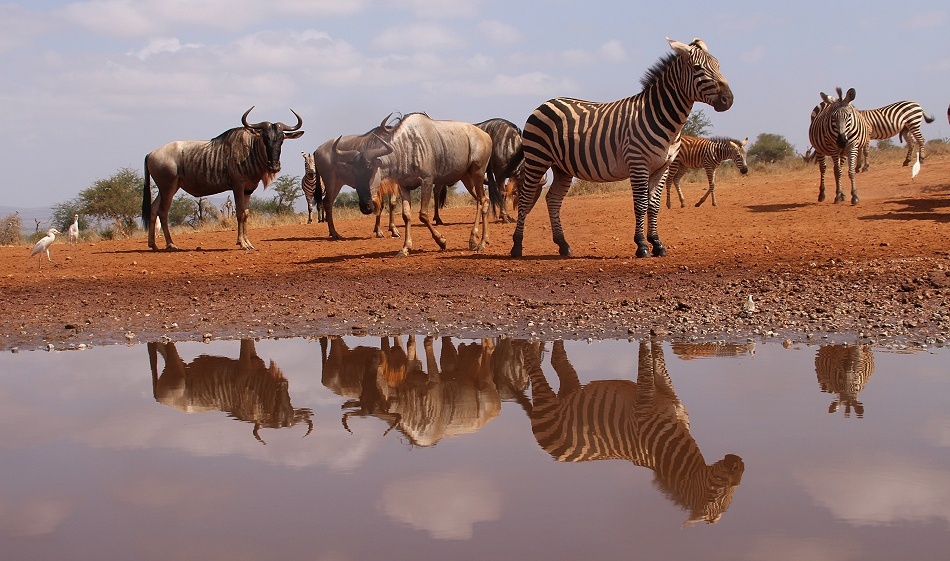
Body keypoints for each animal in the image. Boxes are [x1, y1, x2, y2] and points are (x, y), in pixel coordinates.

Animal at [511, 38, 734, 259]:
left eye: (718, 66)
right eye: (698, 68)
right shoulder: (638, 163)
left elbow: (654, 205)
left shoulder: (663, 167)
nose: (728, 99)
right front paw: (642, 245)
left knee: (553, 199)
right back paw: (517, 247)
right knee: (526, 198)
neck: (660, 116)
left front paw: (657, 243)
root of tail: (544, 103)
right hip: (537, 158)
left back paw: (563, 245)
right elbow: (641, 204)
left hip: (562, 167)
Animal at [523, 339, 745, 526]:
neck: (665, 448)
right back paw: (531, 345)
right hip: (546, 403)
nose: (741, 466)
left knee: (557, 359)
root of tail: (555, 455)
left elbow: (659, 362)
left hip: (569, 391)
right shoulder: (643, 402)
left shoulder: (667, 391)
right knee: (532, 364)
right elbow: (647, 360)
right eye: (716, 494)